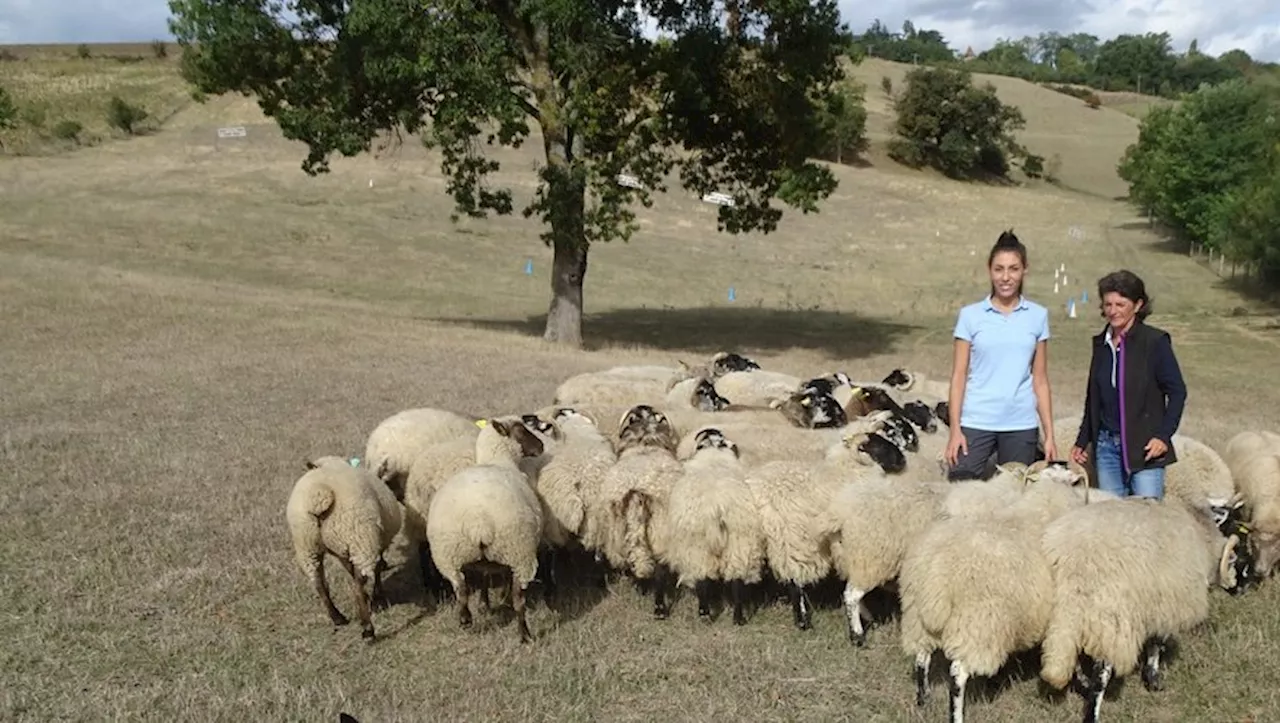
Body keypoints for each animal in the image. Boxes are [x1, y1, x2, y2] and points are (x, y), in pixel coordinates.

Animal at [286, 452, 401, 639]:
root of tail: (319, 496)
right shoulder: (372, 542)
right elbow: (376, 569)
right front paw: (377, 597)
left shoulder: (341, 550)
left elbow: (351, 569)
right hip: (359, 537)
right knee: (357, 586)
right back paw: (367, 628)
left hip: (306, 545)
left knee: (319, 584)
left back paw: (337, 617)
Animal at [427, 417, 547, 642]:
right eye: (521, 430)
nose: (541, 446)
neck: (497, 460)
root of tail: (478, 521)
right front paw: (500, 599)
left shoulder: (483, 560)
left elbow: (484, 577)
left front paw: (484, 604)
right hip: (520, 551)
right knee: (519, 600)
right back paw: (524, 635)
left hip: (449, 555)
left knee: (461, 588)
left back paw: (465, 619)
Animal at [1034, 491, 1254, 716]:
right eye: (1242, 551)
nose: (1245, 589)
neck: (1201, 530)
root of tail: (1077, 560)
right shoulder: (1165, 602)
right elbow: (1156, 642)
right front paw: (1153, 679)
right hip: (1112, 616)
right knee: (1101, 676)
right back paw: (1093, 709)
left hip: (1067, 614)